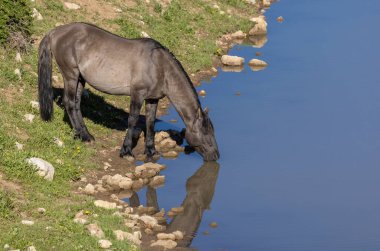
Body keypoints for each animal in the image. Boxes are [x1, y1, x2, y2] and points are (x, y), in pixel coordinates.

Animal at [37, 22, 220, 161]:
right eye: (206, 133)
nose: (216, 156)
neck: (159, 66)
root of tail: (56, 32)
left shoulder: (152, 99)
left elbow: (150, 123)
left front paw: (151, 151)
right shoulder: (137, 94)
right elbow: (132, 120)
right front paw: (126, 151)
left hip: (80, 79)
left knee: (75, 104)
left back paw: (83, 134)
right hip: (70, 75)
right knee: (69, 103)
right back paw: (84, 136)